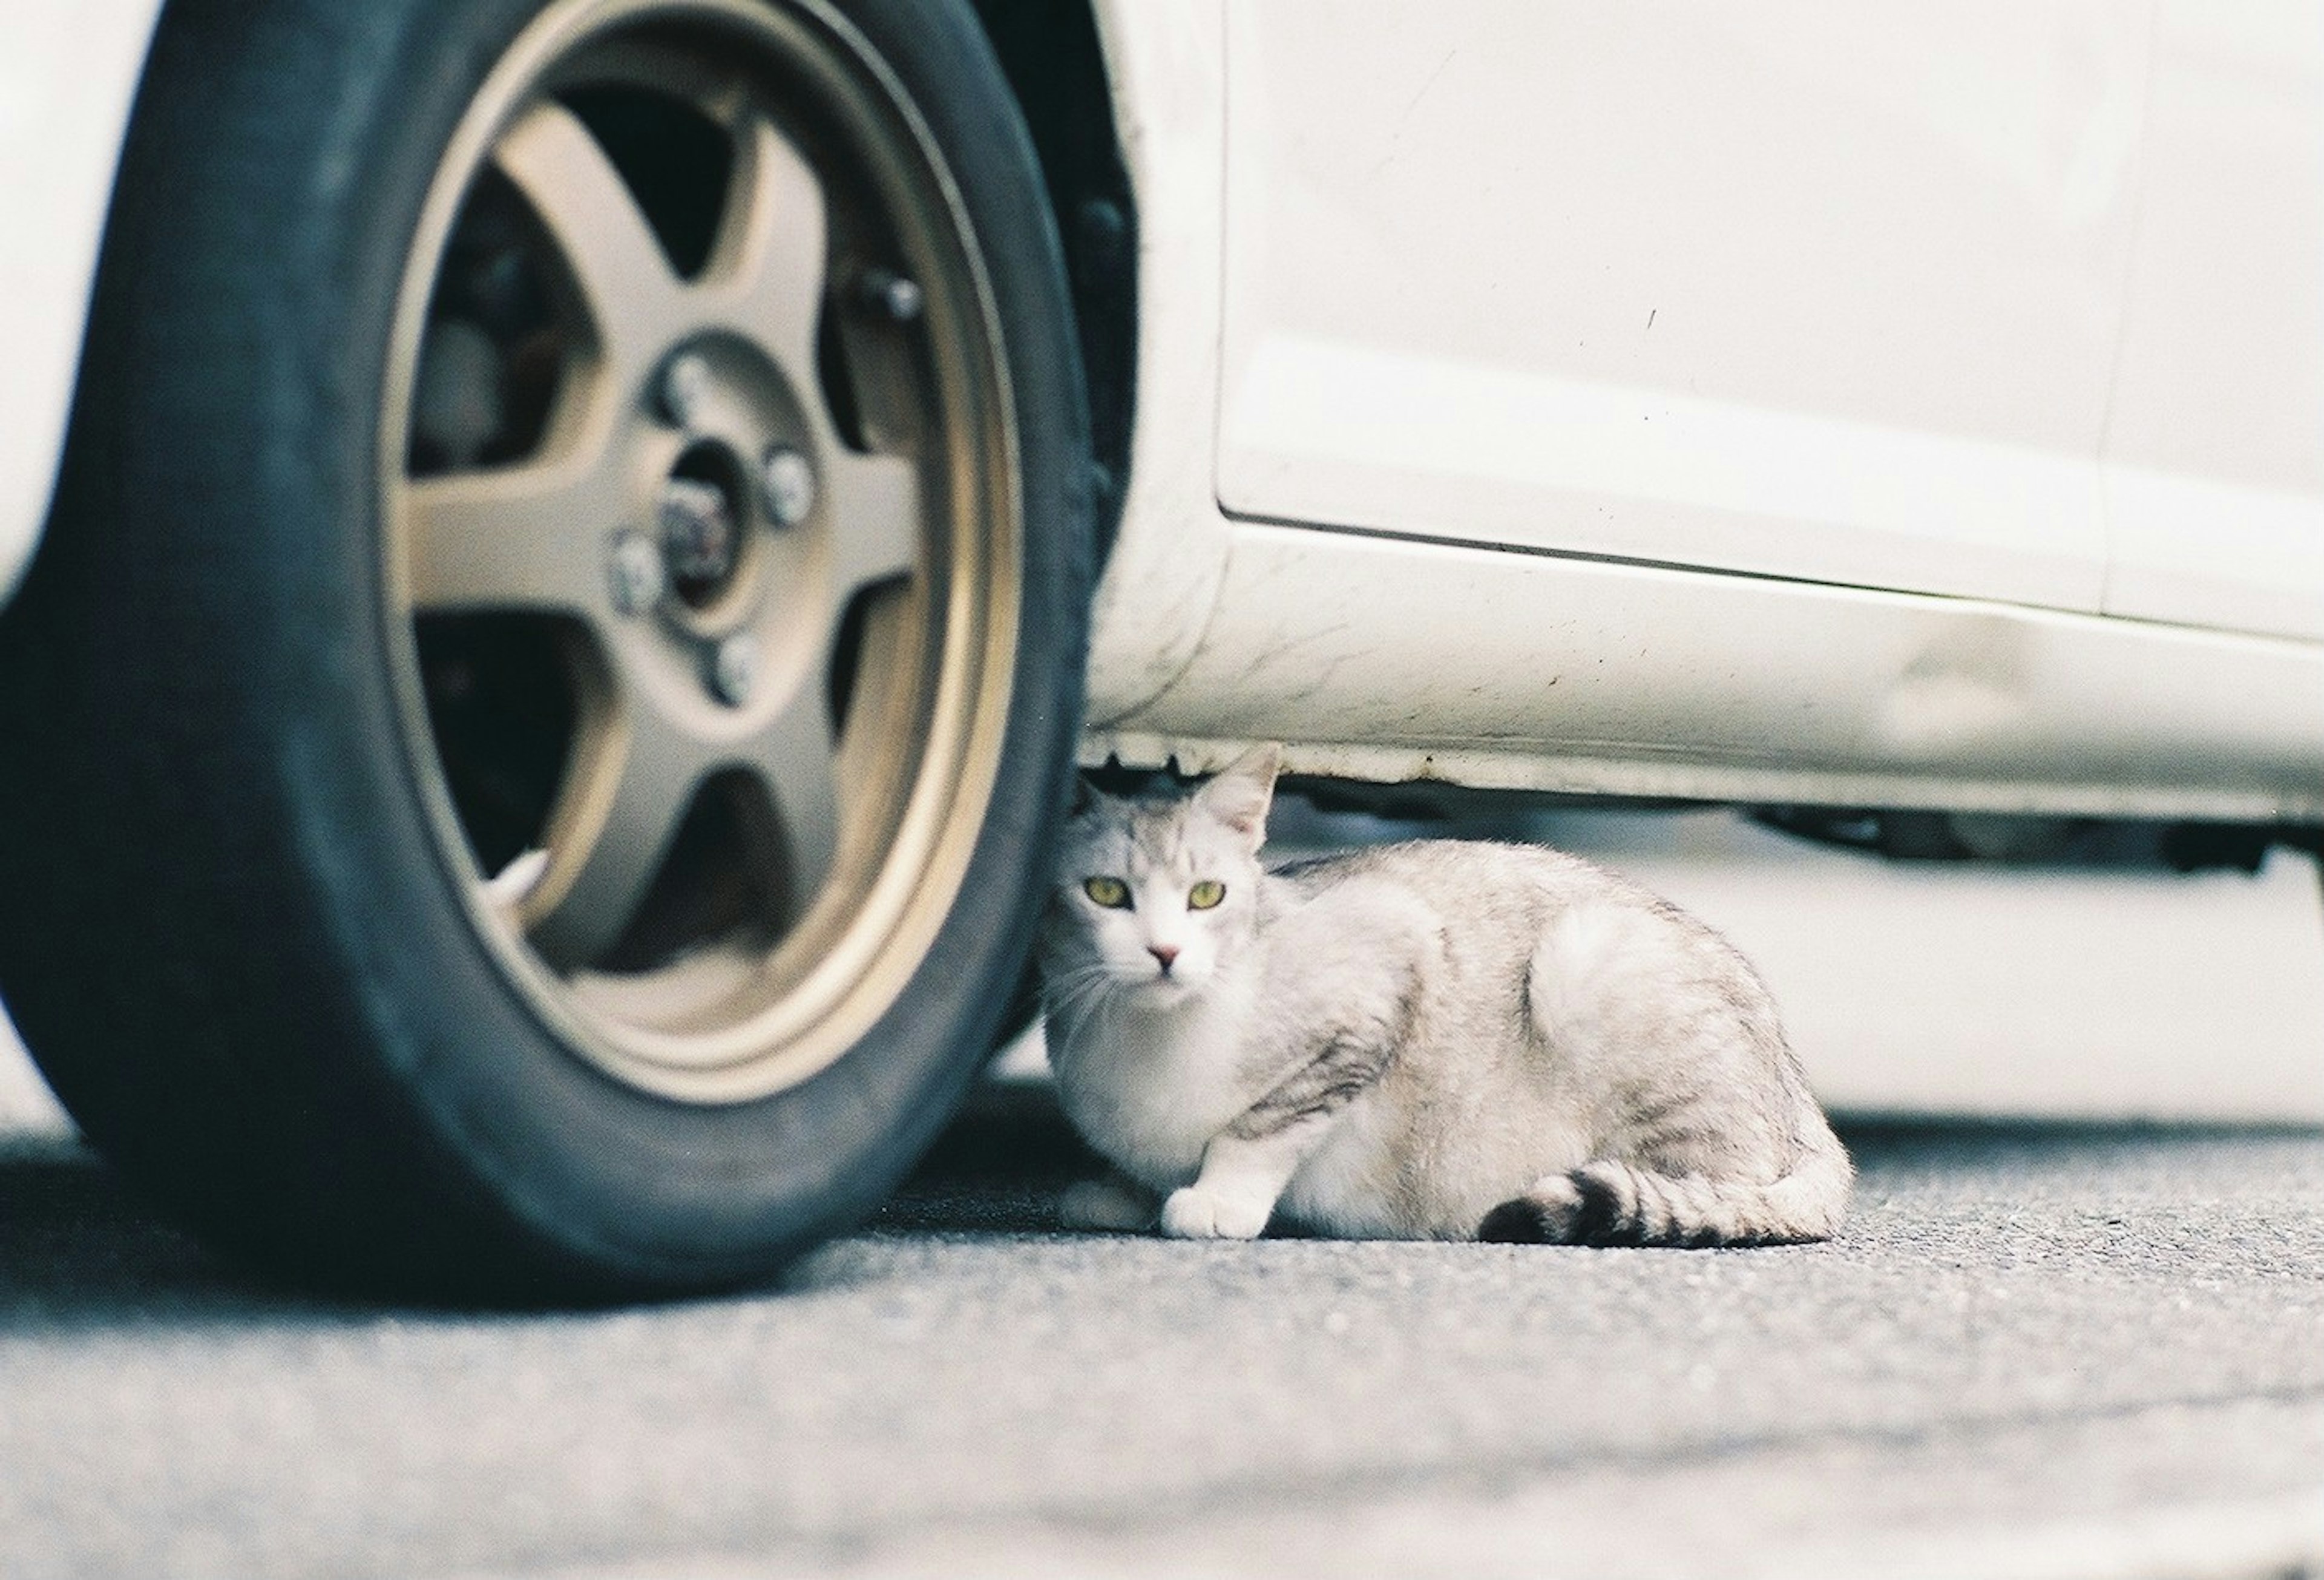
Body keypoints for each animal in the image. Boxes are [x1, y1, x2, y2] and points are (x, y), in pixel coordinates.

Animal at [1036, 748, 1850, 1254]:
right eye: (1105, 892)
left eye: (1207, 895)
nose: (1165, 953)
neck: (1144, 1038)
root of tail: (1814, 1121)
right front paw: (1121, 1192)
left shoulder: (1386, 966)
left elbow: (1262, 1127)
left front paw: (1216, 1199)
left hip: (1589, 959)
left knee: (1718, 1189)